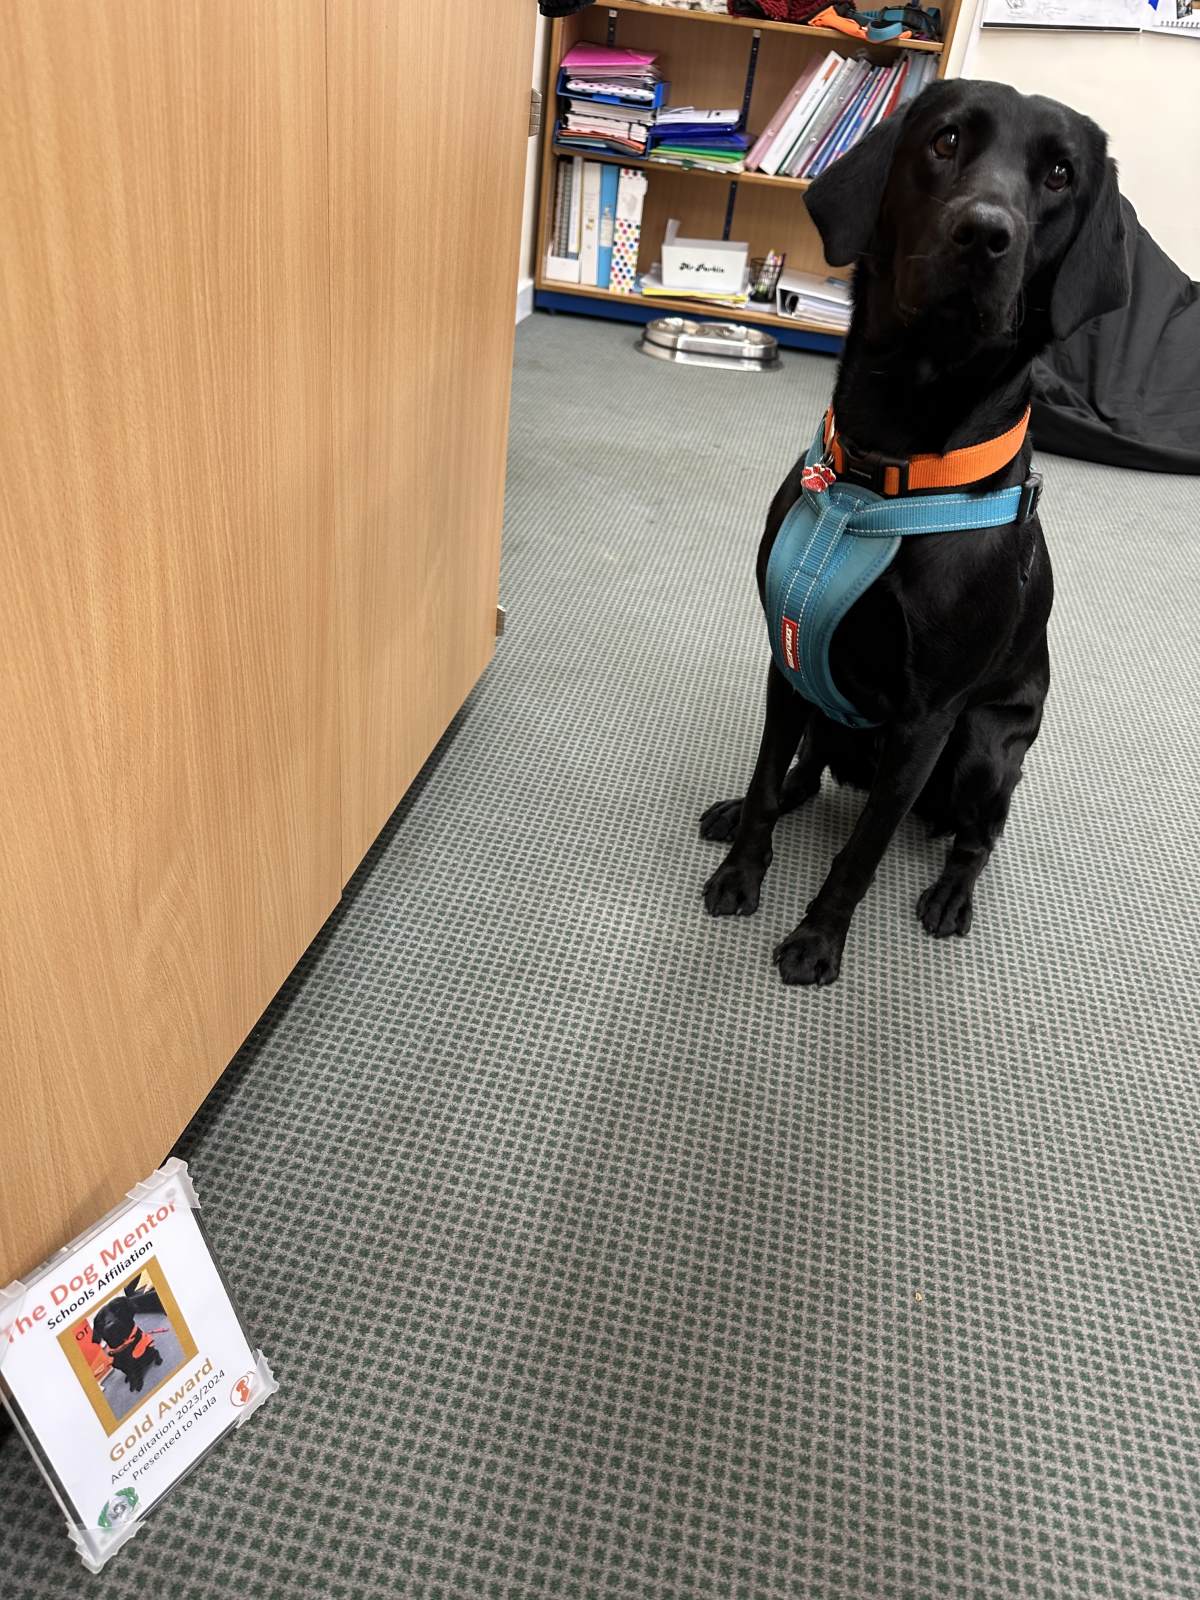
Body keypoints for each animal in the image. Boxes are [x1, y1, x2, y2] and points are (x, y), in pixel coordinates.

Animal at [701, 79, 1129, 986]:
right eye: (946, 140)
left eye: (1061, 174)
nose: (985, 233)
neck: (879, 476)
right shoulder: (785, 661)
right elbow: (766, 783)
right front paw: (739, 874)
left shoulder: (928, 720)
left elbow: (861, 854)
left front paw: (818, 940)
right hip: (827, 705)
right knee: (806, 774)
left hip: (983, 748)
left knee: (979, 833)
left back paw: (951, 894)